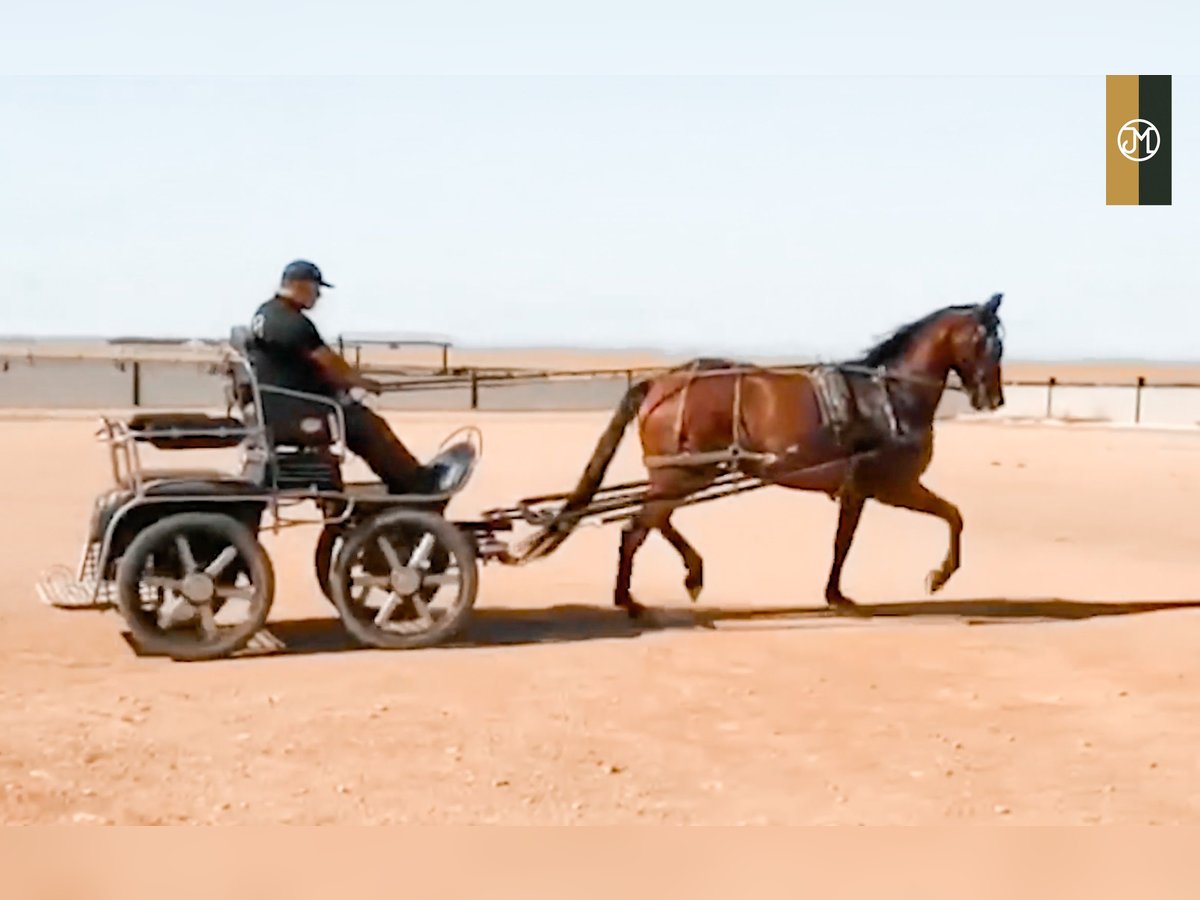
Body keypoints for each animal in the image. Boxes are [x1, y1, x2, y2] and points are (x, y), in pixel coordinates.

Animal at [530, 292, 1008, 619]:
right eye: (988, 344)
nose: (994, 399)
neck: (886, 396)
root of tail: (660, 384)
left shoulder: (859, 491)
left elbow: (846, 541)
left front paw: (836, 594)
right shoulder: (894, 486)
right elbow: (951, 517)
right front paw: (938, 577)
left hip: (685, 474)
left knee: (654, 520)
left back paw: (690, 573)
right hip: (684, 474)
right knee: (635, 529)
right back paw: (630, 599)